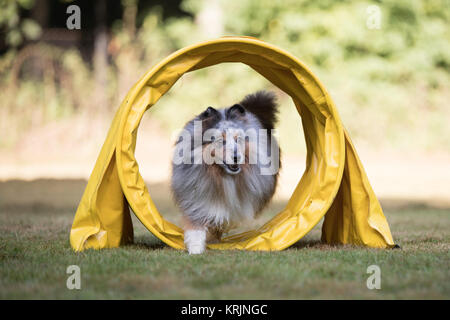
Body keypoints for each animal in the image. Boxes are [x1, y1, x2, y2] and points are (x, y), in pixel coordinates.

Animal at [171, 89, 280, 252]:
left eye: (238, 139)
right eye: (220, 141)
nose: (236, 157)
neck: (222, 175)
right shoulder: (195, 197)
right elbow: (196, 224)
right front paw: (195, 249)